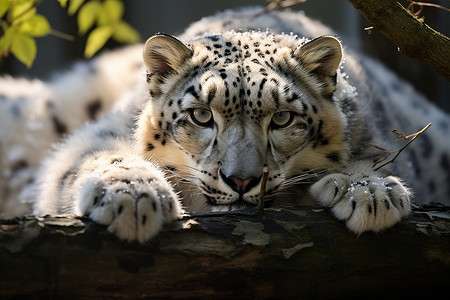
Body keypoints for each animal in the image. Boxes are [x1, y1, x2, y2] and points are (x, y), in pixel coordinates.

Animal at [0, 7, 450, 241]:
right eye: (202, 114)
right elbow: (91, 158)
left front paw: (369, 191)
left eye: (282, 117)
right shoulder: (99, 132)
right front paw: (134, 196)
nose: (241, 180)